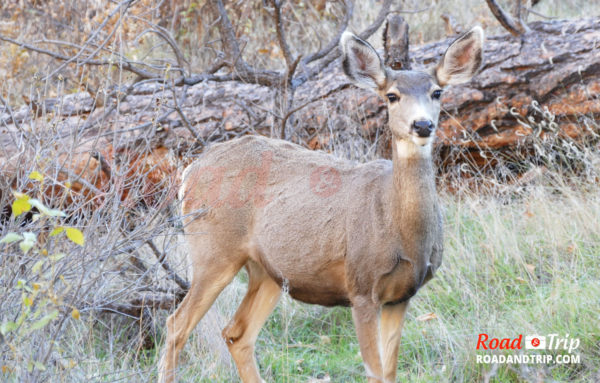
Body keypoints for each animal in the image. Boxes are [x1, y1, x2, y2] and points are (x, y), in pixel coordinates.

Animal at [159, 27, 482, 383]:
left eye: (437, 92)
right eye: (392, 96)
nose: (422, 125)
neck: (399, 229)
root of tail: (189, 171)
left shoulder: (401, 296)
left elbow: (390, 372)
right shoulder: (361, 286)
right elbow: (374, 371)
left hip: (268, 271)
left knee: (237, 333)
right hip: (213, 251)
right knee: (176, 325)